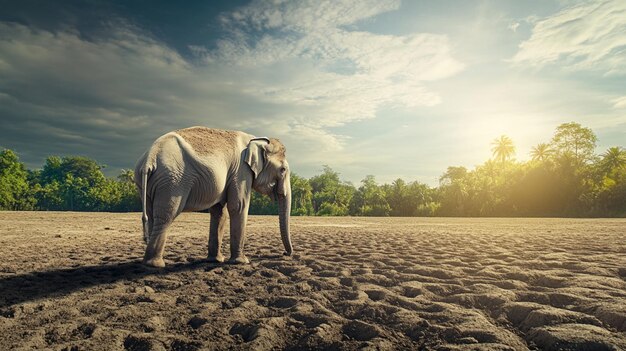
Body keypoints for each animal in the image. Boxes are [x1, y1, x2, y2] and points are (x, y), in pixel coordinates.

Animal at [133, 128, 292, 268]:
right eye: (283, 170)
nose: (285, 254)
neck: (256, 139)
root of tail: (149, 158)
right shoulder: (241, 171)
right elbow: (238, 206)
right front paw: (241, 262)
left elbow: (219, 212)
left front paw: (215, 260)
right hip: (172, 182)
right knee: (166, 216)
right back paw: (155, 265)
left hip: (149, 184)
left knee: (153, 215)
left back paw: (149, 262)